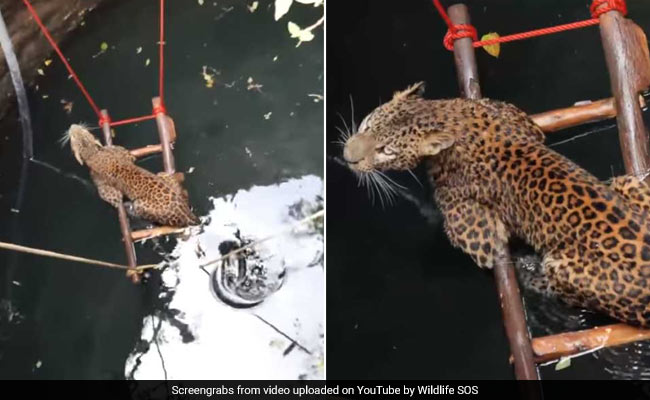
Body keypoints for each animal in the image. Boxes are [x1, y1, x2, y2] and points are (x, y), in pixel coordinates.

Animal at [65, 124, 200, 227]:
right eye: (83, 131)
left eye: (72, 138)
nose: (72, 126)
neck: (92, 153)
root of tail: (184, 212)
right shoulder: (125, 155)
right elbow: (125, 152)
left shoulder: (100, 182)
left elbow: (107, 193)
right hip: (164, 176)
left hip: (140, 205)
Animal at [342, 82, 650, 327]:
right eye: (366, 125)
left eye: (386, 151)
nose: (347, 157)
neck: (447, 116)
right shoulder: (517, 118)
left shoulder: (473, 231)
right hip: (625, 183)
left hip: (563, 268)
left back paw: (529, 269)